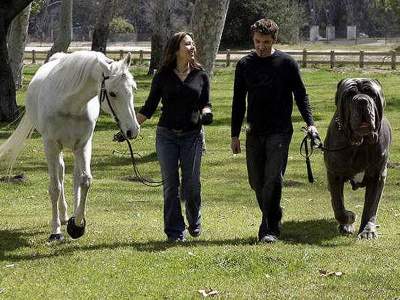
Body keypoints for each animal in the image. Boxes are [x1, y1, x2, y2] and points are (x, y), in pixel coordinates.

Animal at [0, 49, 141, 241]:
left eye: (133, 89)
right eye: (112, 93)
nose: (132, 130)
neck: (69, 104)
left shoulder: (83, 145)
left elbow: (85, 181)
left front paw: (77, 224)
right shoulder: (51, 145)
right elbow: (55, 187)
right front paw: (56, 231)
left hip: (75, 150)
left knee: (74, 177)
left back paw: (70, 215)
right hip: (56, 149)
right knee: (60, 173)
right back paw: (62, 215)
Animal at [324, 78, 390, 240]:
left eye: (372, 94)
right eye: (349, 94)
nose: (362, 101)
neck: (360, 143)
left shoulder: (378, 176)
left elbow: (371, 207)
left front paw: (367, 231)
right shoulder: (334, 174)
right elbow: (338, 205)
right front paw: (349, 218)